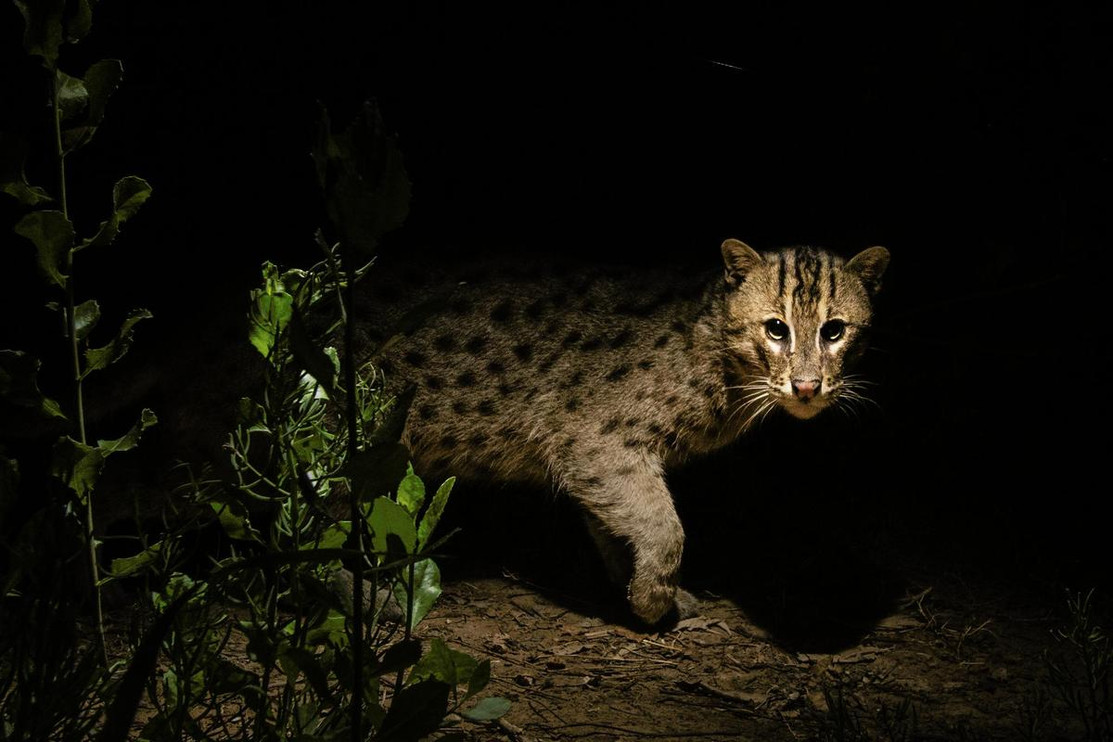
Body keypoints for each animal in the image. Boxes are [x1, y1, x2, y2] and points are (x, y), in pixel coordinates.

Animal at [356, 241, 885, 622]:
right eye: (776, 328)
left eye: (834, 330)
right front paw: (651, 600)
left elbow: (615, 525)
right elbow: (665, 527)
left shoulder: (600, 461)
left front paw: (645, 588)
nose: (807, 386)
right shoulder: (593, 441)